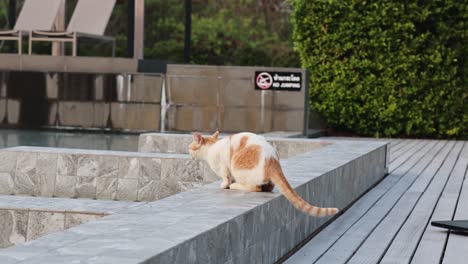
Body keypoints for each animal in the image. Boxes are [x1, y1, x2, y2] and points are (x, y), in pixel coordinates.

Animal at [188, 131, 338, 217]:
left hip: (236, 165)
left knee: (255, 187)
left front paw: (224, 185)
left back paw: (235, 186)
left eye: (190, 148)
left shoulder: (224, 168)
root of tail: (272, 160)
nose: (189, 154)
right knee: (268, 187)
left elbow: (225, 179)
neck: (211, 147)